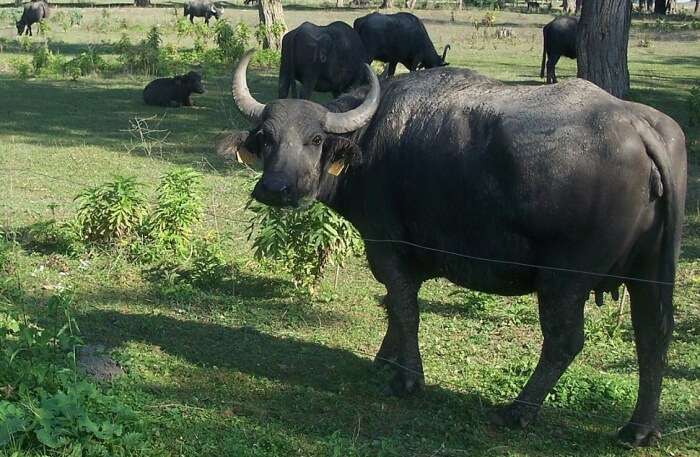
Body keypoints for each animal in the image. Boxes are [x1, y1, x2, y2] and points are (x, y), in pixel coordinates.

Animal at [227, 50, 688, 446]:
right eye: (266, 138)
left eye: (316, 139)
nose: (275, 188)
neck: (371, 140)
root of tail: (636, 124)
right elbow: (394, 306)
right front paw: (387, 358)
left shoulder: (387, 246)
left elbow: (405, 309)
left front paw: (407, 378)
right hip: (651, 271)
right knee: (653, 333)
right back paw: (638, 429)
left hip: (564, 278)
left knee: (565, 340)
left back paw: (518, 410)